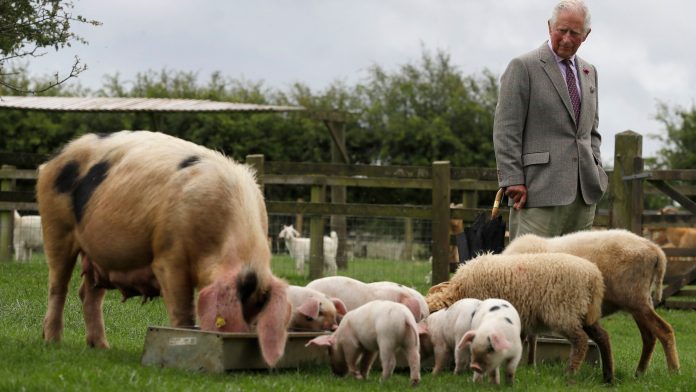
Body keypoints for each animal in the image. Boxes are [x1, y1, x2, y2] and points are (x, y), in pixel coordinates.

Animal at [38, 132, 290, 368]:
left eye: (257, 314)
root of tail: (54, 158)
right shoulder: (169, 256)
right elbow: (183, 310)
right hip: (56, 226)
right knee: (57, 287)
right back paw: (52, 341)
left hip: (97, 255)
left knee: (88, 293)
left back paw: (101, 347)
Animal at [426, 251, 612, 382]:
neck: (460, 291)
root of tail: (594, 275)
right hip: (582, 311)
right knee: (602, 337)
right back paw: (608, 376)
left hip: (564, 312)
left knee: (581, 341)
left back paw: (570, 373)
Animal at [502, 230, 684, 376]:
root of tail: (655, 250)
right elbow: (531, 336)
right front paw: (530, 365)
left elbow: (525, 336)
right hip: (640, 301)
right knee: (649, 336)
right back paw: (639, 372)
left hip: (635, 299)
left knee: (664, 331)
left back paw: (674, 371)